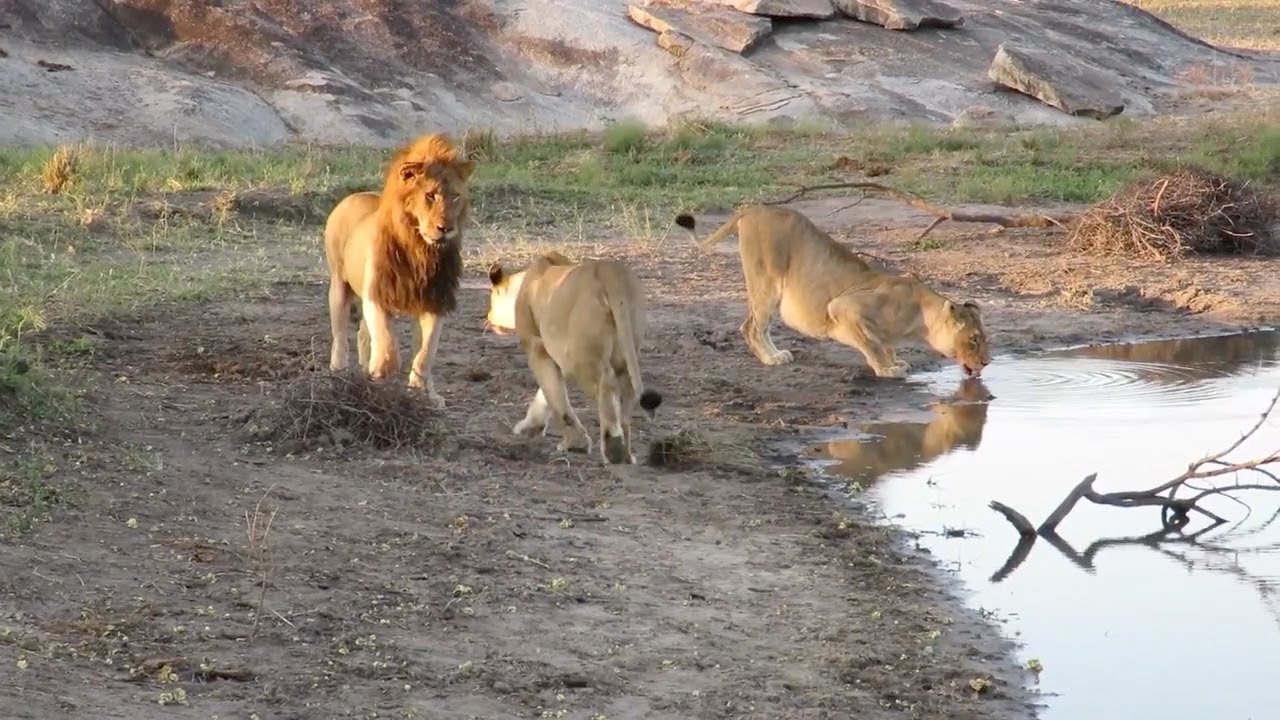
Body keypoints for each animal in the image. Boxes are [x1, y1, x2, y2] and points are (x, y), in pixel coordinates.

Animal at [323, 132, 475, 409]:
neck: (420, 251)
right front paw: (379, 376)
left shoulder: (435, 302)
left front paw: (420, 392)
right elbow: (388, 350)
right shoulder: (376, 295)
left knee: (365, 334)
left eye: (456, 196)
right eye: (430, 195)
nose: (446, 228)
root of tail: (353, 196)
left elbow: (425, 355)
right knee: (341, 338)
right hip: (339, 285)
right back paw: (340, 377)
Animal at [486, 251, 663, 464]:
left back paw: (614, 448)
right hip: (626, 347)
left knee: (607, 384)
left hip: (579, 356)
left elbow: (555, 397)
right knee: (626, 389)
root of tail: (610, 271)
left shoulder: (538, 348)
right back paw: (627, 454)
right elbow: (547, 394)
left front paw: (574, 444)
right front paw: (531, 426)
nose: (488, 316)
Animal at [673, 204, 991, 379]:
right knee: (751, 327)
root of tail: (754, 208)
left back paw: (778, 354)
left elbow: (884, 343)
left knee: (759, 327)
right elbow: (872, 344)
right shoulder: (843, 307)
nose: (987, 362)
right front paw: (887, 369)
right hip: (766, 283)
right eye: (974, 339)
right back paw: (770, 359)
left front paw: (895, 360)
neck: (919, 318)